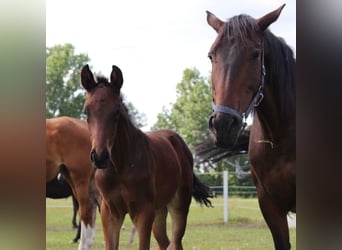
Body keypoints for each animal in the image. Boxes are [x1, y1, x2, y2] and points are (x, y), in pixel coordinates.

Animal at [81, 63, 212, 249]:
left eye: (116, 112)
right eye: (86, 112)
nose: (100, 157)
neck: (121, 165)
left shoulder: (143, 212)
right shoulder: (110, 212)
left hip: (178, 205)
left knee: (176, 242)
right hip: (159, 210)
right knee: (165, 242)